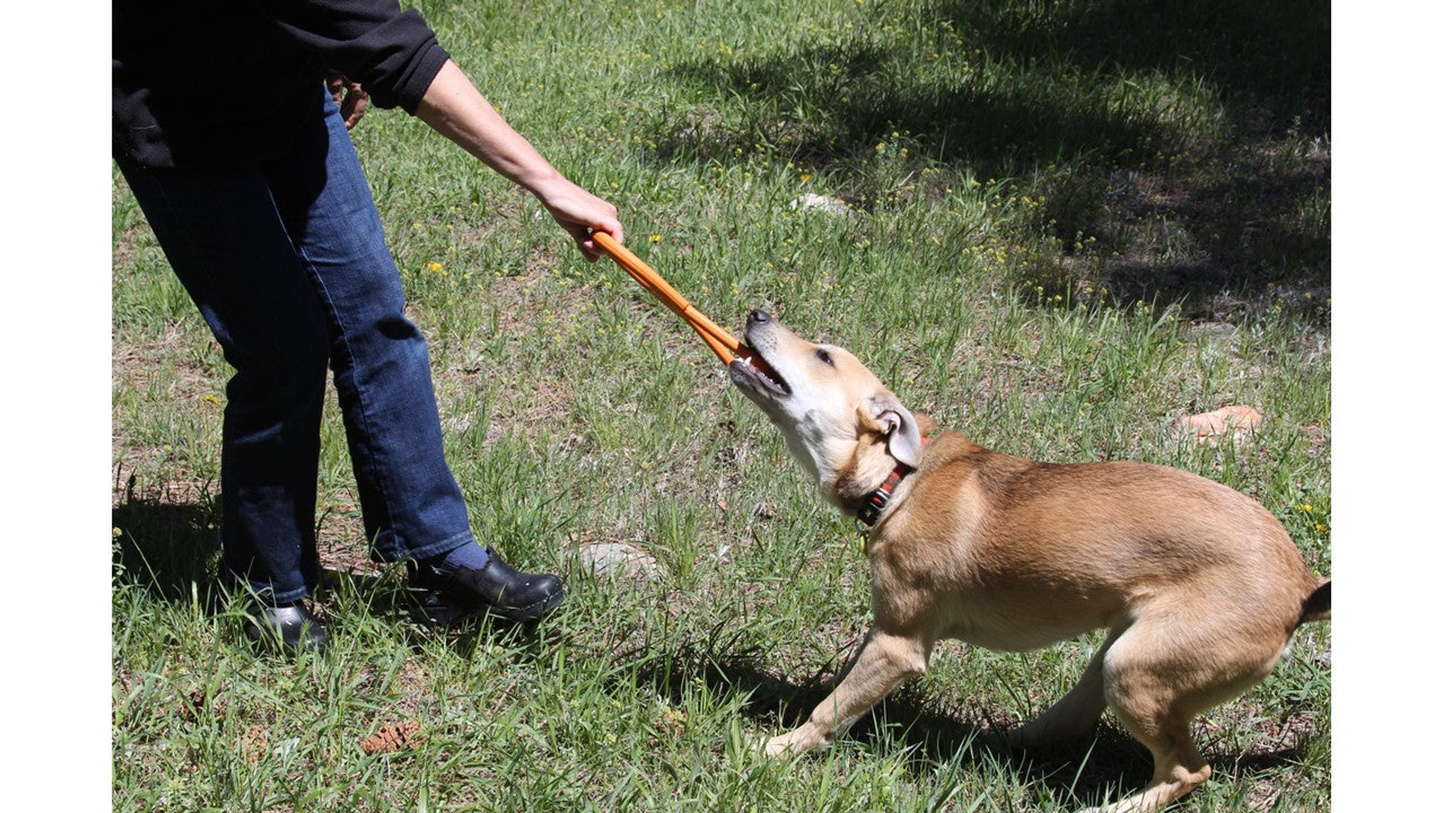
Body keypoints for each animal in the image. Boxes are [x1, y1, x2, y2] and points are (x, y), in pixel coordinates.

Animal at [728, 310, 1323, 813]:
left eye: (824, 355)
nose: (757, 313)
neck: (898, 480)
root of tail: (1304, 584)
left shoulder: (898, 644)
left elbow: (832, 708)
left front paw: (776, 750)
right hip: (1122, 655)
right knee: (1074, 719)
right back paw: (1004, 742)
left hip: (1137, 670)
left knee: (1188, 771)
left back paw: (1110, 807)